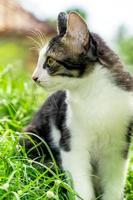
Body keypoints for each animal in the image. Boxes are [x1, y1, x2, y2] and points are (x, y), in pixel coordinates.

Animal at [22, 11, 133, 199]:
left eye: (50, 61)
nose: (34, 77)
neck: (93, 95)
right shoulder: (72, 145)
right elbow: (82, 185)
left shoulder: (118, 148)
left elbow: (114, 185)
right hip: (32, 137)